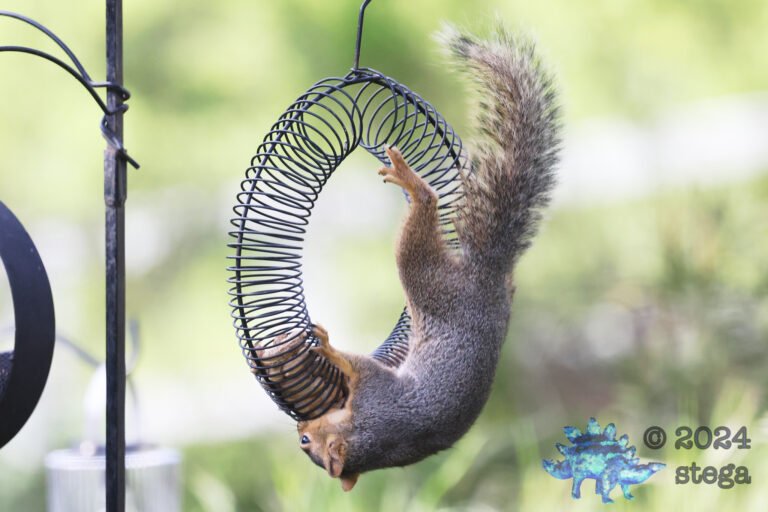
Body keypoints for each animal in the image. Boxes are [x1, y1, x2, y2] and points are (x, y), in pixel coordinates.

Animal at [291, 25, 560, 491]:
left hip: (422, 273)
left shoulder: (376, 391)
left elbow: (355, 363)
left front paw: (325, 345)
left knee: (424, 215)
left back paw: (413, 184)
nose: (297, 429)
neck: (373, 438)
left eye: (309, 443)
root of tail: (487, 271)